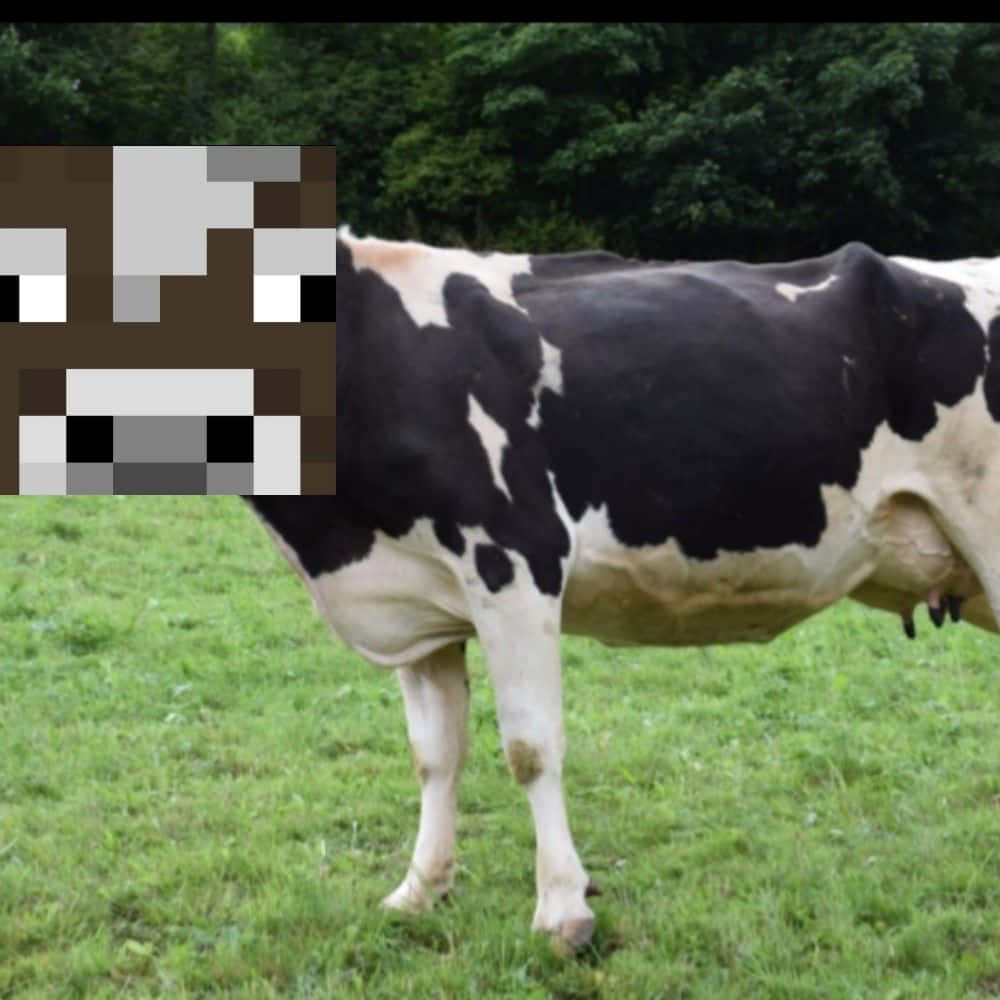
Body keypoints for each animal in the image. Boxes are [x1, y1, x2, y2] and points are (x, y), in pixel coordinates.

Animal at [247, 229, 1000, 952]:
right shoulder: (416, 599)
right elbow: (434, 754)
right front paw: (419, 891)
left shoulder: (515, 560)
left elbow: (530, 747)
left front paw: (562, 911)